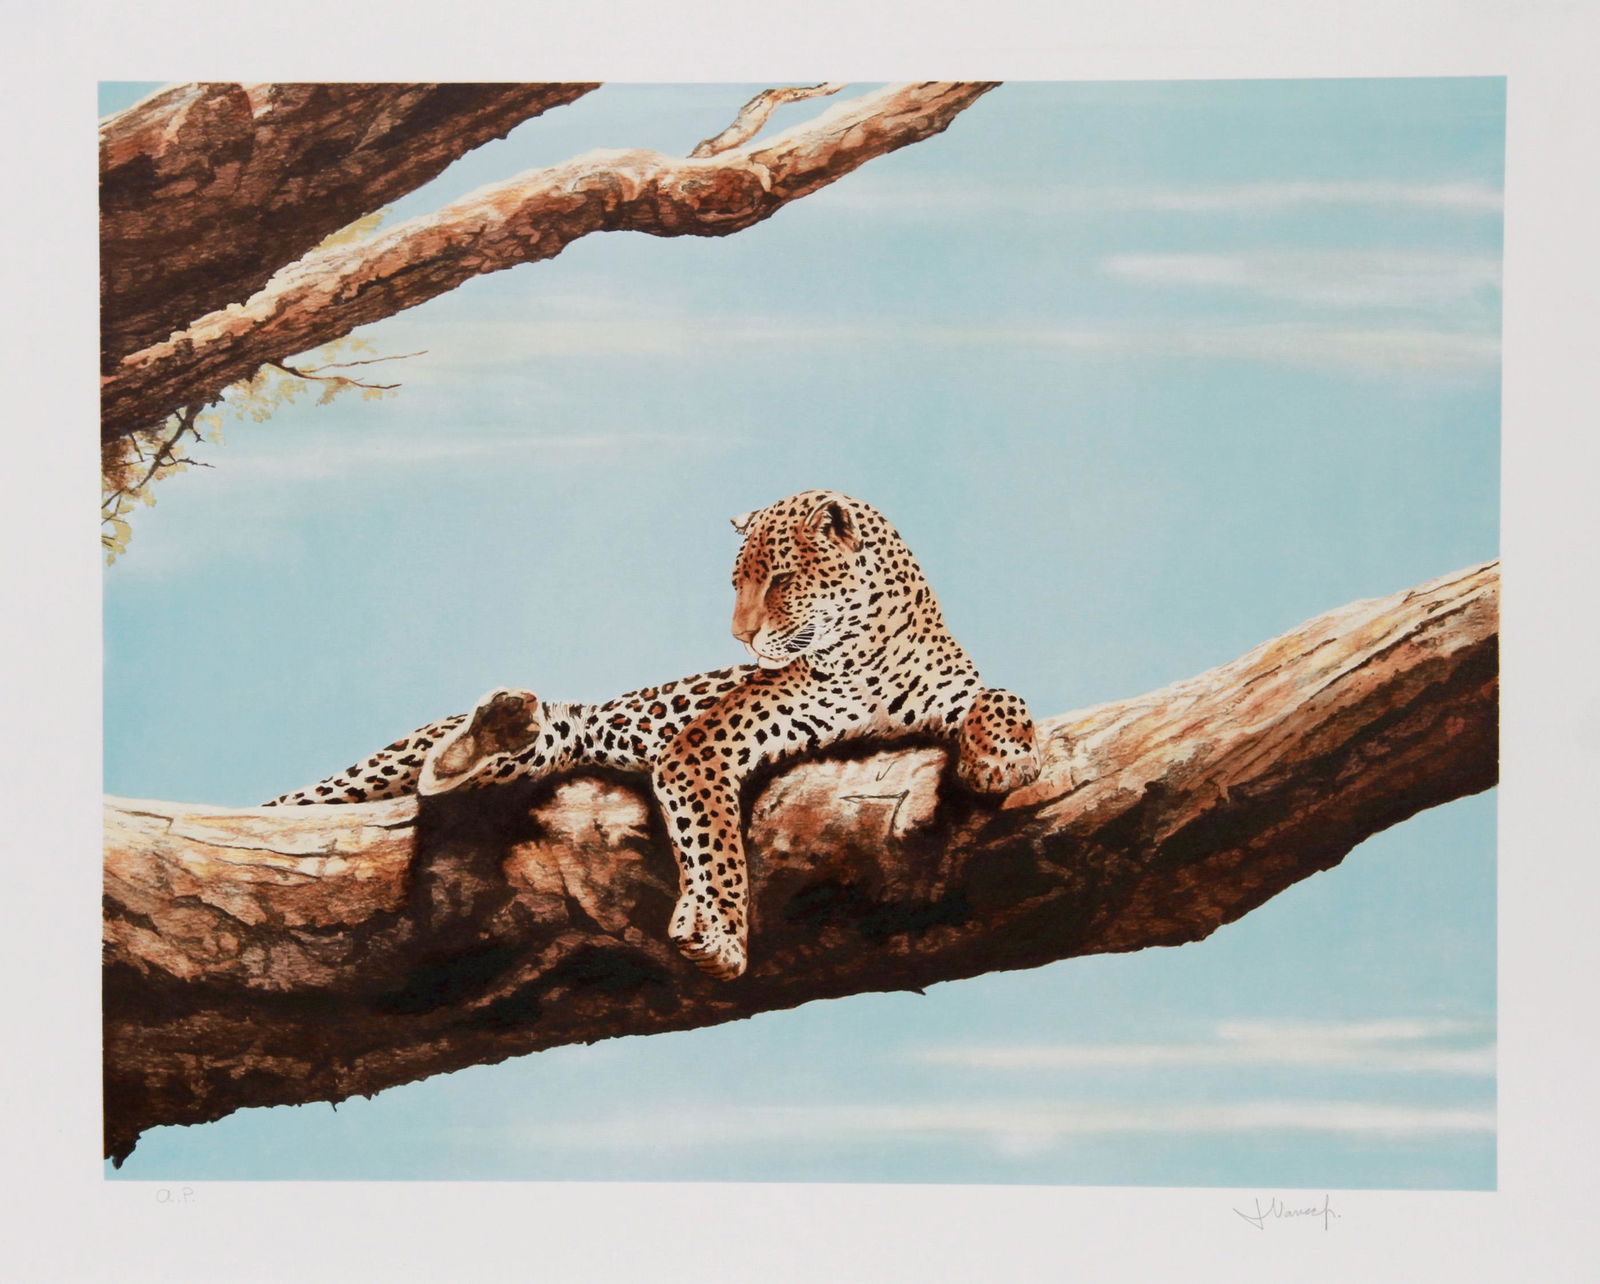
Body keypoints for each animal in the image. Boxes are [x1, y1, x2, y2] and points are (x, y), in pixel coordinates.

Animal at [263, 489, 1042, 980]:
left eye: (780, 579)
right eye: (737, 583)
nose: (741, 636)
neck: (866, 649)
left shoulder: (949, 694)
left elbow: (1001, 693)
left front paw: (1006, 755)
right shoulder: (702, 747)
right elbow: (715, 842)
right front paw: (718, 933)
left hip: (545, 749)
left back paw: (501, 727)